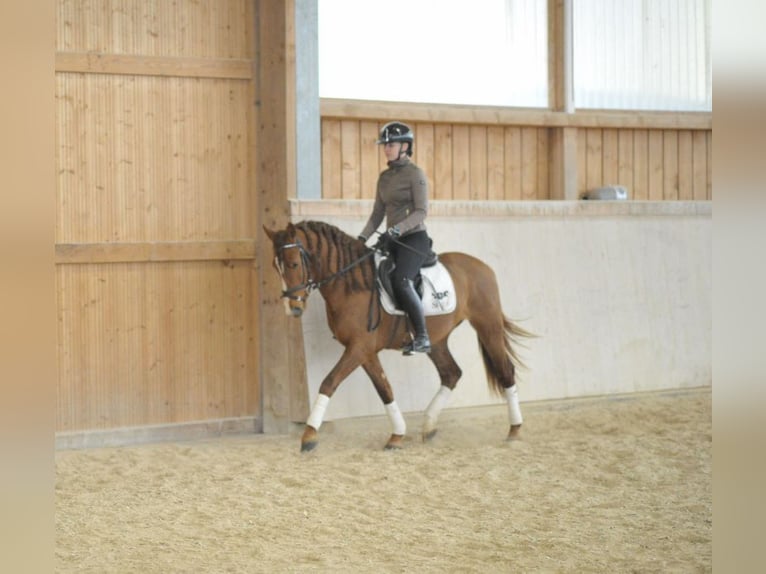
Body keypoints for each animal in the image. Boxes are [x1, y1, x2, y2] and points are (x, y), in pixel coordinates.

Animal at [264, 223, 536, 452]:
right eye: (276, 266)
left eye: (293, 264)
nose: (293, 308)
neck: (352, 284)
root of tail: (483, 266)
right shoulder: (365, 351)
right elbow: (385, 388)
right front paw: (397, 435)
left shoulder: (358, 348)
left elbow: (329, 382)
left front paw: (309, 435)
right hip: (437, 341)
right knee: (451, 373)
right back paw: (429, 426)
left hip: (487, 326)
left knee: (506, 371)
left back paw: (515, 430)